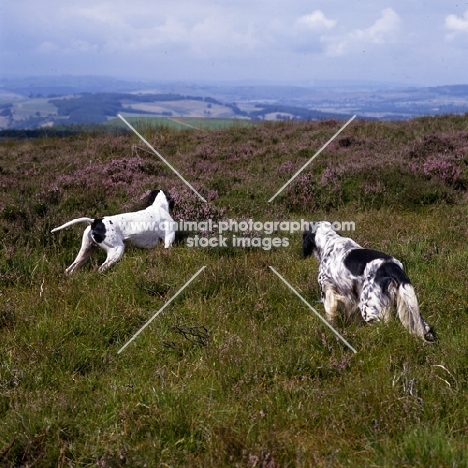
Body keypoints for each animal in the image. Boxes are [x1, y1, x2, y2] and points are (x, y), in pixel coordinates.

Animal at [304, 221, 436, 342]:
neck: (330, 241)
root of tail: (391, 266)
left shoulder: (327, 291)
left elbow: (330, 316)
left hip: (370, 310)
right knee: (425, 327)